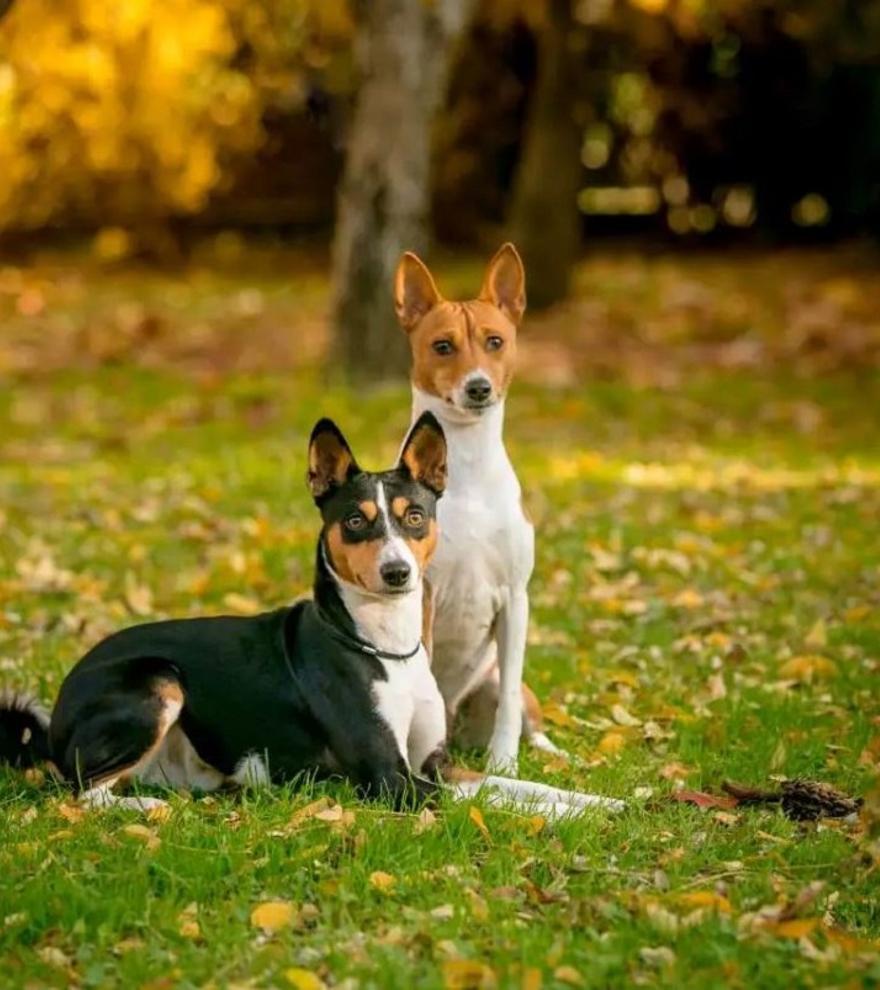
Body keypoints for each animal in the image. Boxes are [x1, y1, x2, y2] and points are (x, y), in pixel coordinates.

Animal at [1, 414, 620, 816]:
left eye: (415, 516)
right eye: (355, 521)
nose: (398, 573)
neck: (384, 646)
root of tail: (56, 717)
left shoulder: (434, 764)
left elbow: (524, 789)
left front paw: (607, 801)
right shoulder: (392, 780)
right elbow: (497, 801)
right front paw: (577, 818)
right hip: (159, 680)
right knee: (81, 792)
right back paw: (147, 807)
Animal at [396, 242, 560, 776]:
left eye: (494, 341)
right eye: (442, 346)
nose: (478, 387)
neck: (462, 464)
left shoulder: (515, 599)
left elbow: (508, 701)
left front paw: (503, 765)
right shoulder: (423, 593)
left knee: (529, 717)